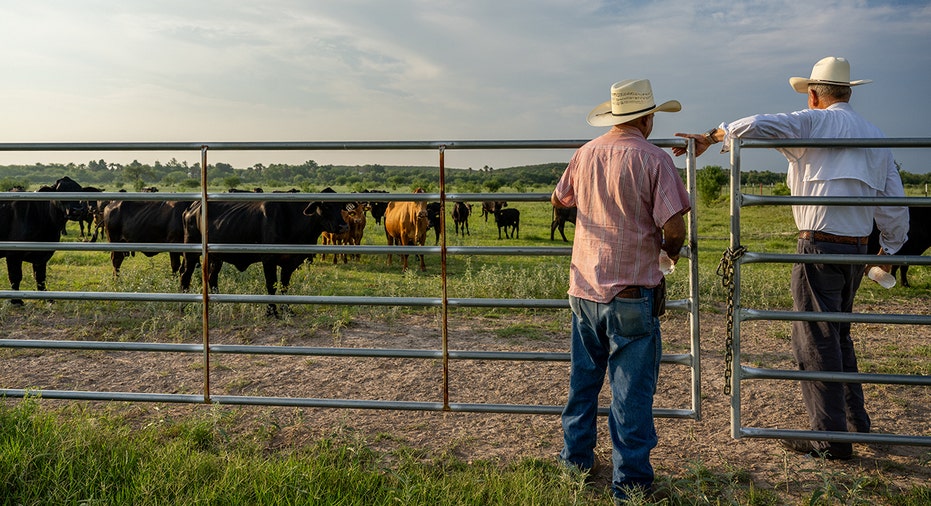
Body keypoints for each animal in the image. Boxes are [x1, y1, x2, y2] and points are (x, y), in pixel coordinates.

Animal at [177, 188, 346, 316]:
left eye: (341, 207)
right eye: (326, 206)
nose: (343, 226)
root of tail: (192, 207)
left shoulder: (289, 263)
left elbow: (284, 286)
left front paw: (287, 310)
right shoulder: (268, 260)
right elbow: (271, 285)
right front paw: (272, 311)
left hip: (215, 257)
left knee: (212, 277)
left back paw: (217, 304)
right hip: (190, 252)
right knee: (185, 275)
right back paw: (183, 306)